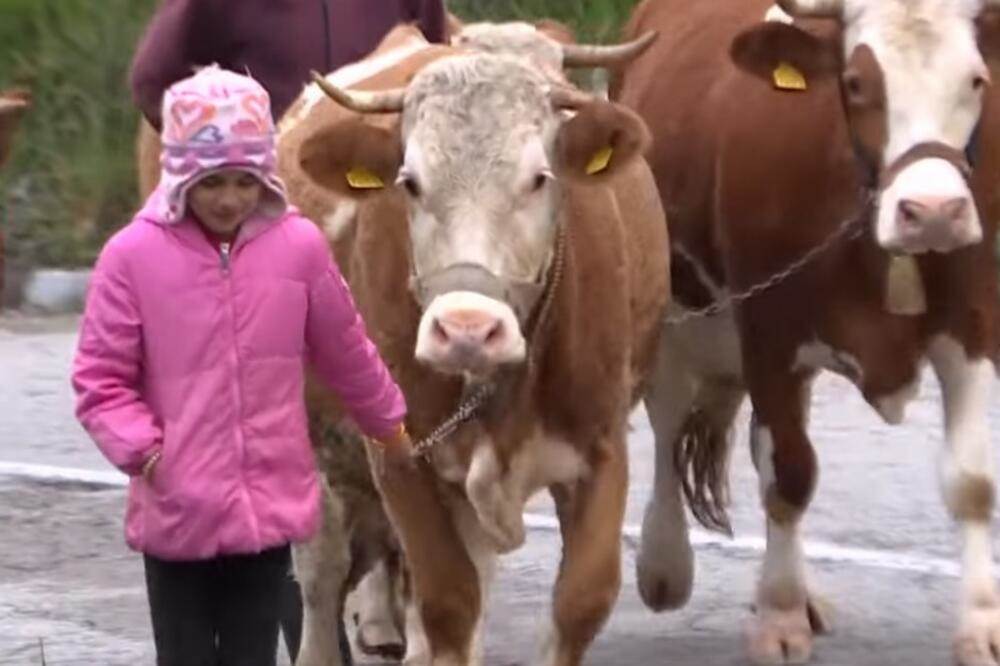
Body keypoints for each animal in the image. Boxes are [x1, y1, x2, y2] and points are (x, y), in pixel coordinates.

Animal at [294, 39, 672, 660]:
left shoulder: (602, 449)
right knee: (321, 576)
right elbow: (449, 605)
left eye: (540, 177)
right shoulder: (400, 460)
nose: (467, 328)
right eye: (409, 182)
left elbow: (580, 603)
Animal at [612, 1, 1000, 664]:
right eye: (856, 83)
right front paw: (780, 614)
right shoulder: (770, 334)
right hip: (671, 312)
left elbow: (972, 481)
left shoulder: (972, 326)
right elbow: (790, 475)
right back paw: (665, 563)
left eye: (976, 79)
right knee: (667, 422)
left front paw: (981, 623)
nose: (932, 211)